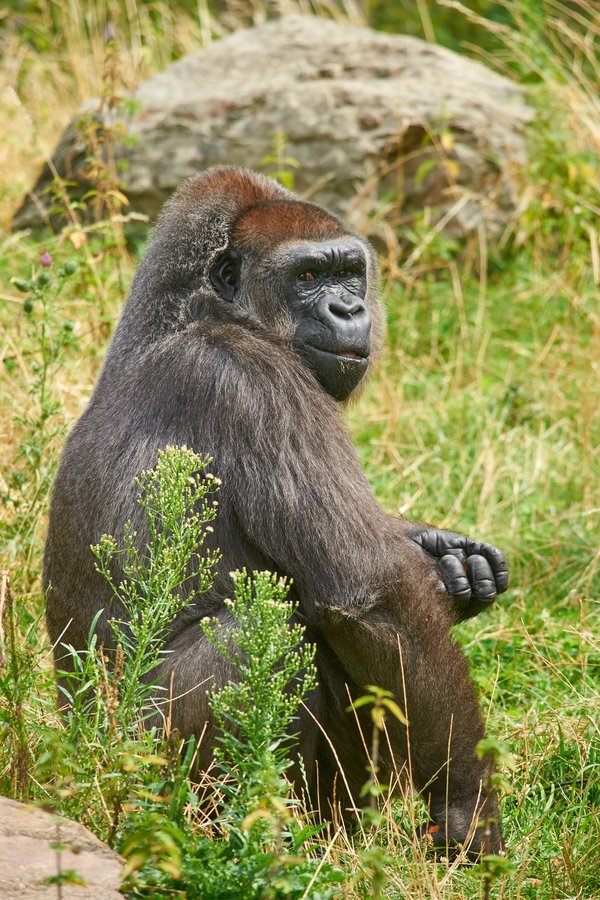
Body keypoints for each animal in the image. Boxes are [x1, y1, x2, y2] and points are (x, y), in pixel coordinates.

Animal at [44, 167, 508, 854]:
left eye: (348, 272)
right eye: (308, 276)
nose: (350, 309)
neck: (193, 311)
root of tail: (77, 755)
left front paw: (447, 557)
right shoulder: (254, 376)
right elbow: (374, 594)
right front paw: (467, 810)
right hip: (137, 762)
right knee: (262, 632)